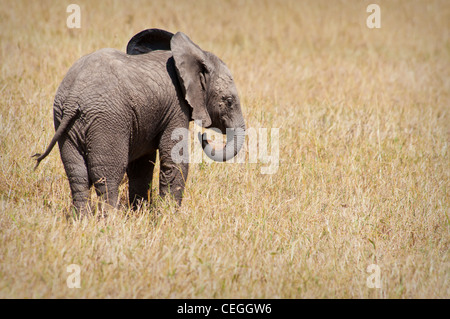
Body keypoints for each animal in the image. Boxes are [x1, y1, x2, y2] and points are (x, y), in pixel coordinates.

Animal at [33, 28, 246, 216]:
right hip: (107, 121)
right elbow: (174, 159)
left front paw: (140, 213)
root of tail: (72, 99)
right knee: (108, 174)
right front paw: (168, 217)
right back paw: (110, 221)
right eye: (228, 101)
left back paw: (81, 220)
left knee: (77, 174)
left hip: (65, 121)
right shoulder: (176, 105)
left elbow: (142, 165)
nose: (204, 136)